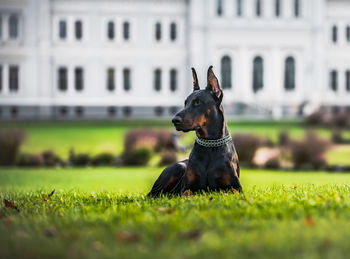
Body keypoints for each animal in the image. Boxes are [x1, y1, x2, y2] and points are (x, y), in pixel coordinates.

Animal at [148, 66, 243, 197]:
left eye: (197, 102)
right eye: (185, 102)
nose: (174, 120)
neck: (210, 145)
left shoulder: (236, 187)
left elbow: (231, 192)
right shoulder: (187, 187)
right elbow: (187, 193)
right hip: (178, 167)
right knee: (153, 194)